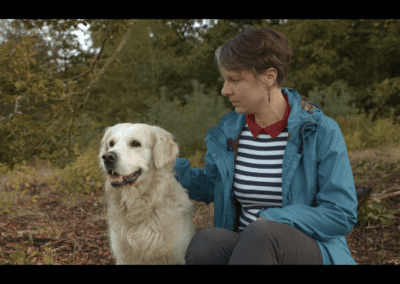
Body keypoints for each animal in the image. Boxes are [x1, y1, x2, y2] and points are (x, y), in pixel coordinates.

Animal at [98, 123, 195, 266]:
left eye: (135, 143)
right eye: (111, 143)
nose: (107, 157)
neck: (138, 205)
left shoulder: (177, 256)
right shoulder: (124, 258)